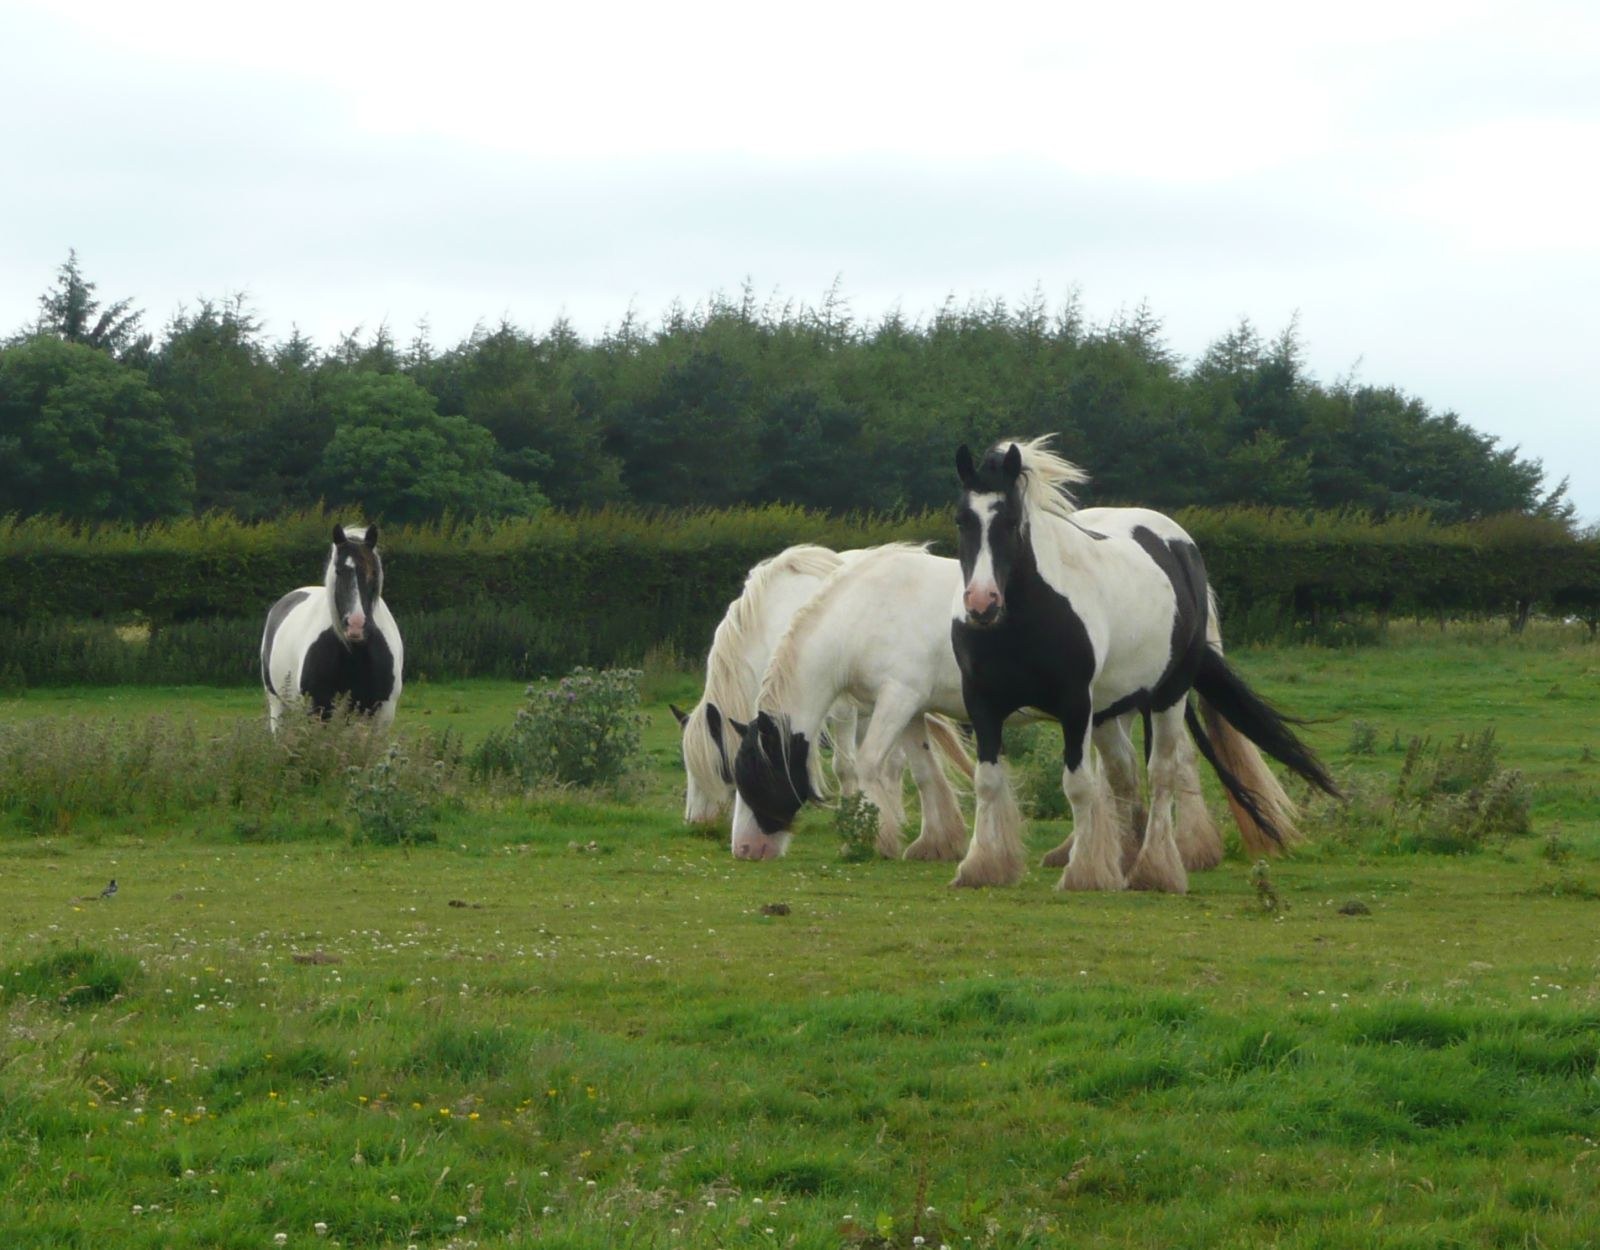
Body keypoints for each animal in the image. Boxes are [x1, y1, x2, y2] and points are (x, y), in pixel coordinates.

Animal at [260, 524, 403, 732]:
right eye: (338, 570)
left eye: (374, 572)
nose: (355, 624)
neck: (354, 654)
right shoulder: (317, 710)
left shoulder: (381, 717)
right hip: (278, 704)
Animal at [728, 541, 1275, 869]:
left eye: (754, 776)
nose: (745, 849)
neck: (865, 612)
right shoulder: (909, 706)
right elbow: (923, 773)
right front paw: (935, 841)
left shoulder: (897, 698)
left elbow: (868, 766)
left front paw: (871, 837)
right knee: (1122, 773)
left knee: (1170, 764)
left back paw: (1176, 851)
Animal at [951, 436, 1339, 892]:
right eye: (962, 520)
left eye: (1011, 522)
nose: (981, 603)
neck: (1023, 619)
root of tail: (1182, 547)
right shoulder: (983, 704)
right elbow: (987, 781)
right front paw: (982, 866)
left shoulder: (1074, 704)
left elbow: (1078, 785)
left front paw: (1082, 873)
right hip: (1109, 709)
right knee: (1124, 774)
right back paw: (1126, 856)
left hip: (1166, 696)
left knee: (1163, 772)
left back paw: (1154, 868)